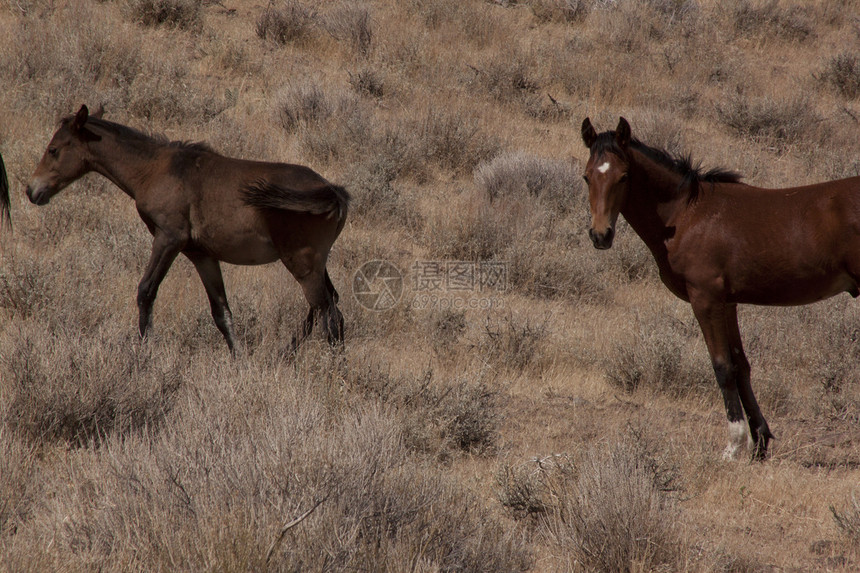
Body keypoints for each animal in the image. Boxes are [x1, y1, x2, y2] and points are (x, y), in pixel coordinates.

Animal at [26, 103, 350, 354]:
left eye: (53, 149)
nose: (32, 190)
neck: (154, 170)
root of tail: (333, 191)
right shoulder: (201, 255)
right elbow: (221, 312)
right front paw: (239, 359)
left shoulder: (168, 239)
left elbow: (146, 292)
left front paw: (144, 355)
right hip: (314, 262)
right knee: (329, 306)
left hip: (302, 262)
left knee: (328, 313)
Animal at [580, 117, 860, 460]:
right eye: (587, 176)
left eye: (624, 176)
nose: (600, 235)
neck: (687, 215)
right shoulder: (727, 303)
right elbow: (740, 365)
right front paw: (760, 441)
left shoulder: (706, 300)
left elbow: (723, 367)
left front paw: (734, 445)